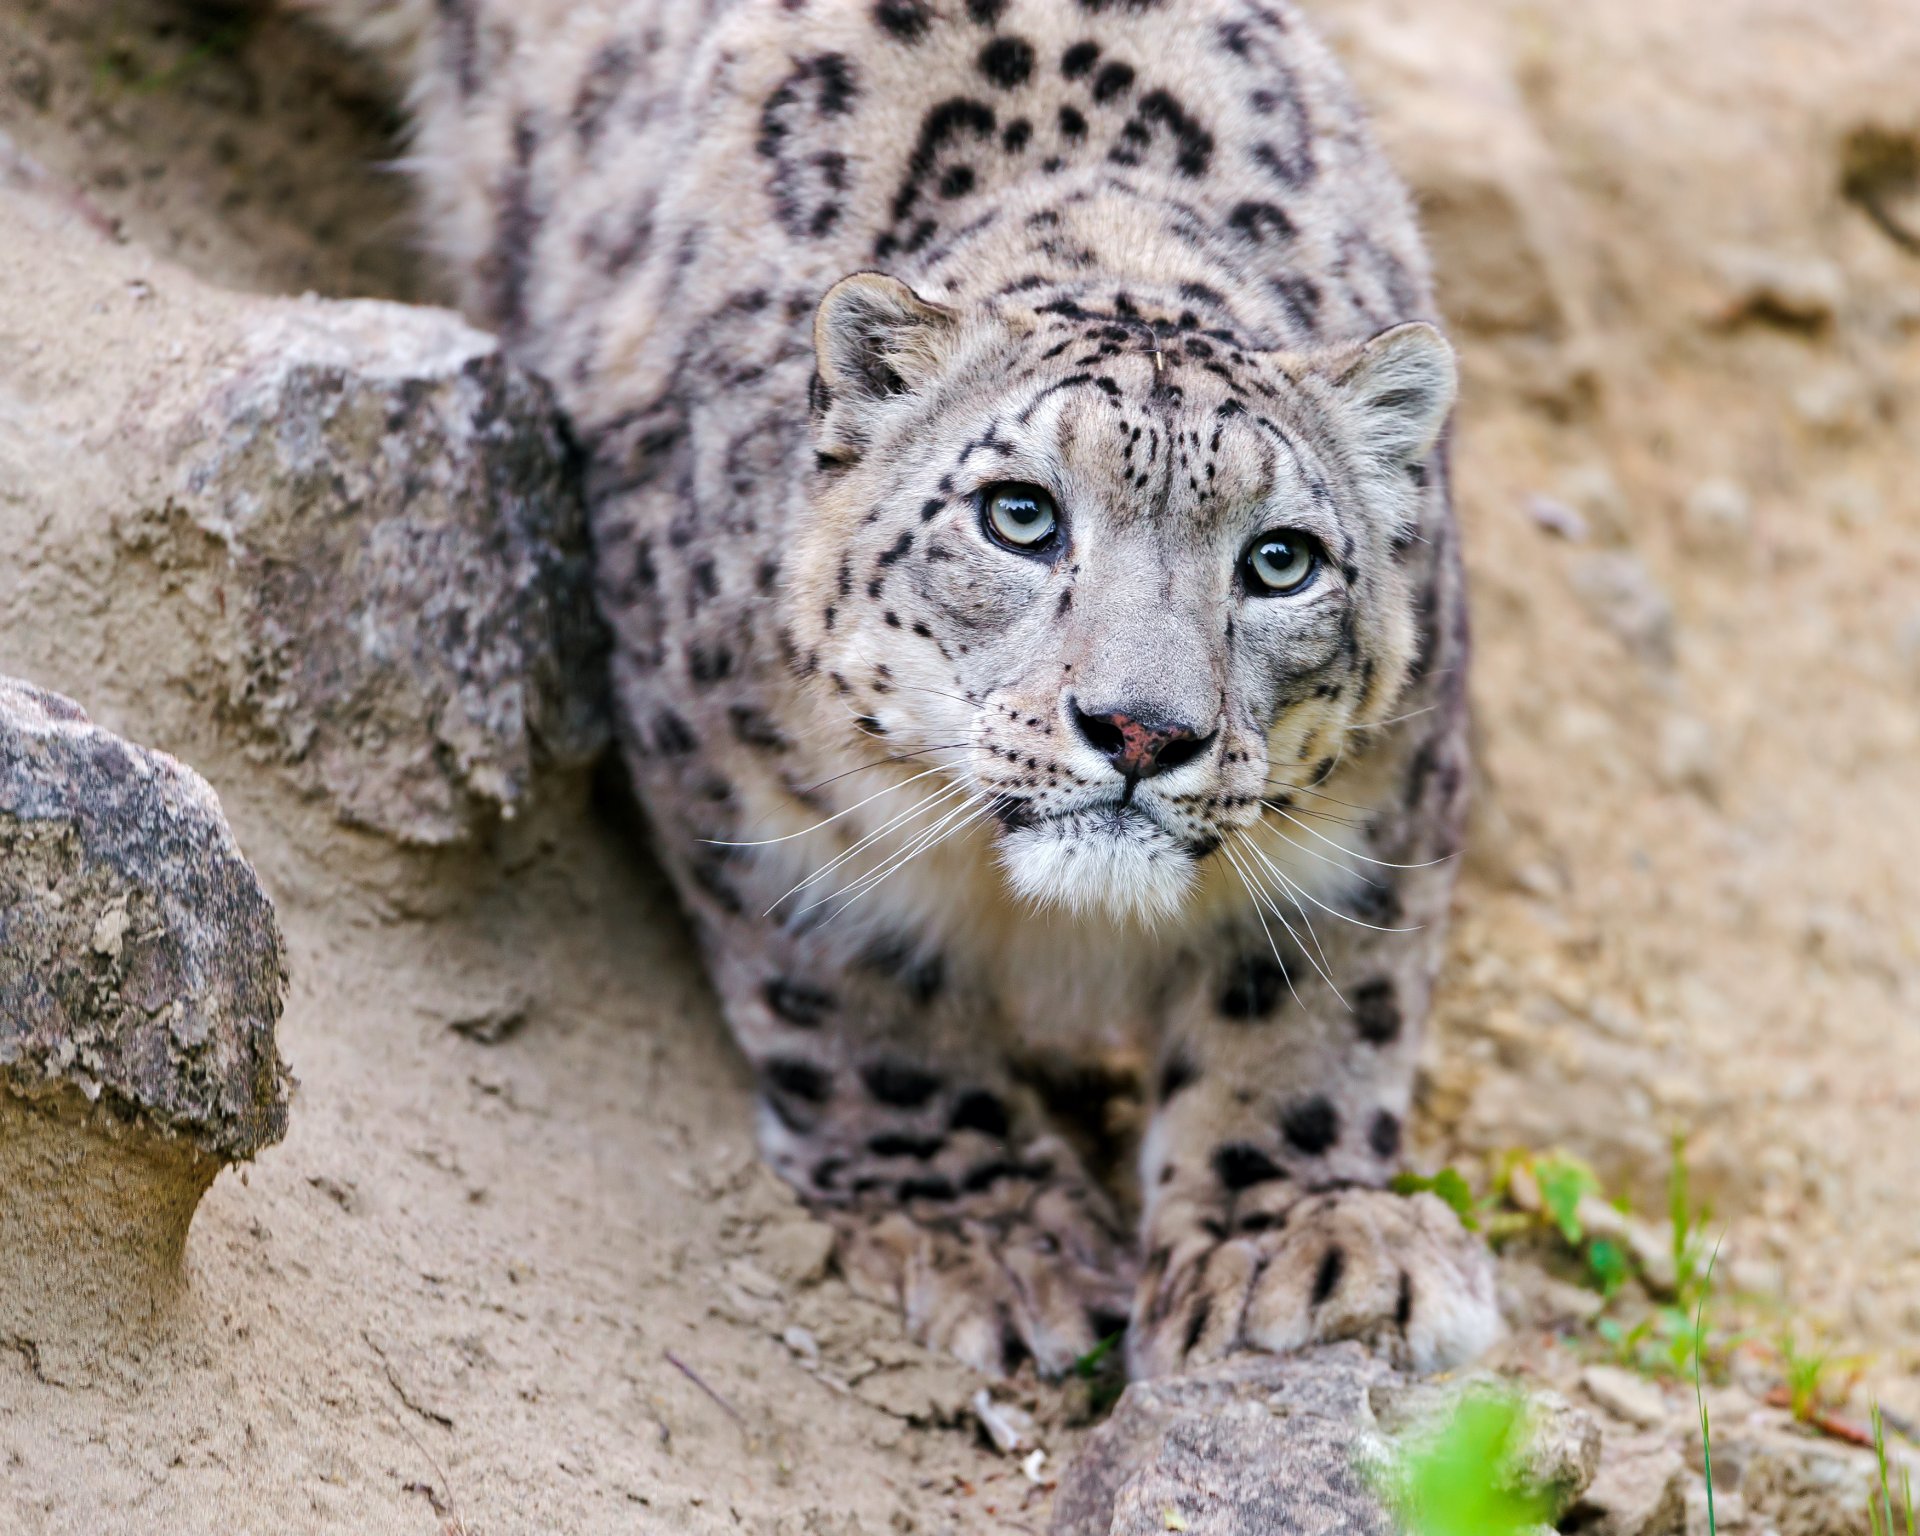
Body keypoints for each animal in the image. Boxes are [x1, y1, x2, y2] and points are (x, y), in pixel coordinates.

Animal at [312, 0, 1503, 1382]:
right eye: (1020, 515)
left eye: (1280, 560)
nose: (1142, 730)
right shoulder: (748, 773)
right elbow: (855, 991)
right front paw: (989, 1233)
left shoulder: (1377, 808)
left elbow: (1311, 1010)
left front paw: (1302, 1249)